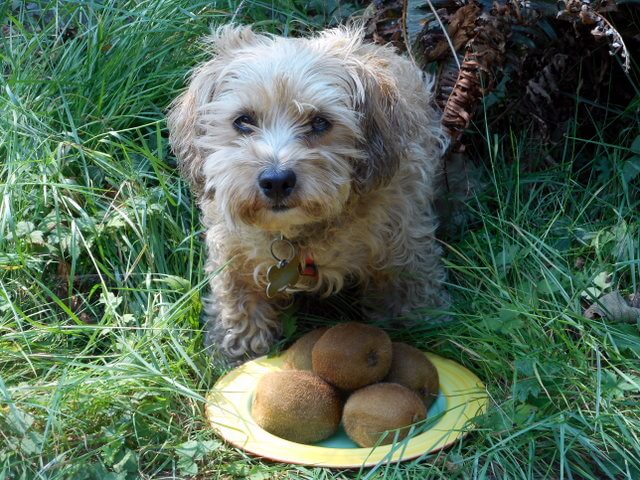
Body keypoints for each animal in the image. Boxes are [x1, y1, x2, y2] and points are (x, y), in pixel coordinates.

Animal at [170, 23, 450, 360]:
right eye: (243, 121)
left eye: (319, 122)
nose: (276, 180)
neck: (300, 236)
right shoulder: (231, 251)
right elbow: (237, 302)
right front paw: (238, 349)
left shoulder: (402, 237)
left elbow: (409, 284)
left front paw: (421, 324)